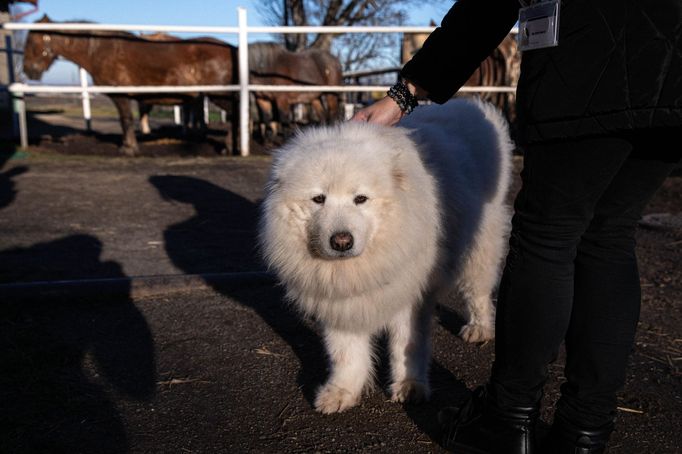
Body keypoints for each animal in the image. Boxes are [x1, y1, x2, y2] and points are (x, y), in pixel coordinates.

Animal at [22, 15, 239, 156]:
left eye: (31, 42)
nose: (27, 70)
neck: (101, 50)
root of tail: (231, 49)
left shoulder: (121, 95)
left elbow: (125, 119)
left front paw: (129, 148)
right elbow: (124, 120)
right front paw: (128, 145)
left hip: (220, 95)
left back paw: (229, 147)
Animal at [256, 97, 510, 414]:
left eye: (360, 199)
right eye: (318, 199)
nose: (341, 241)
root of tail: (468, 103)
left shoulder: (410, 296)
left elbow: (407, 346)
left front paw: (410, 386)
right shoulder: (341, 302)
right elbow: (345, 353)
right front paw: (342, 391)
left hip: (479, 249)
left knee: (478, 292)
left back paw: (479, 328)